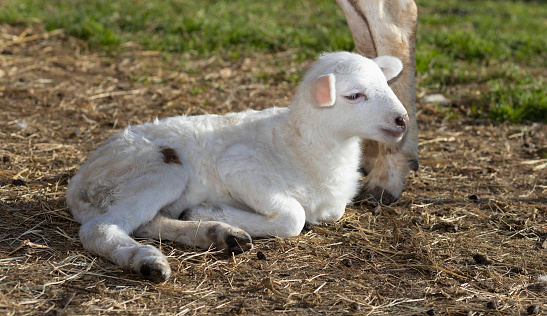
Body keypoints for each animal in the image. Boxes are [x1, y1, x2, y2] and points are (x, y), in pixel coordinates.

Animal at [65, 51, 406, 282]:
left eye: (385, 84)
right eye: (354, 95)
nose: (402, 120)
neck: (297, 144)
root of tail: (78, 184)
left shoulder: (332, 205)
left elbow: (327, 213)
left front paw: (206, 215)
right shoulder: (238, 164)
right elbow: (294, 216)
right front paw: (213, 211)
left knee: (146, 223)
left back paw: (217, 233)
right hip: (159, 169)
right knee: (100, 229)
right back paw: (149, 260)